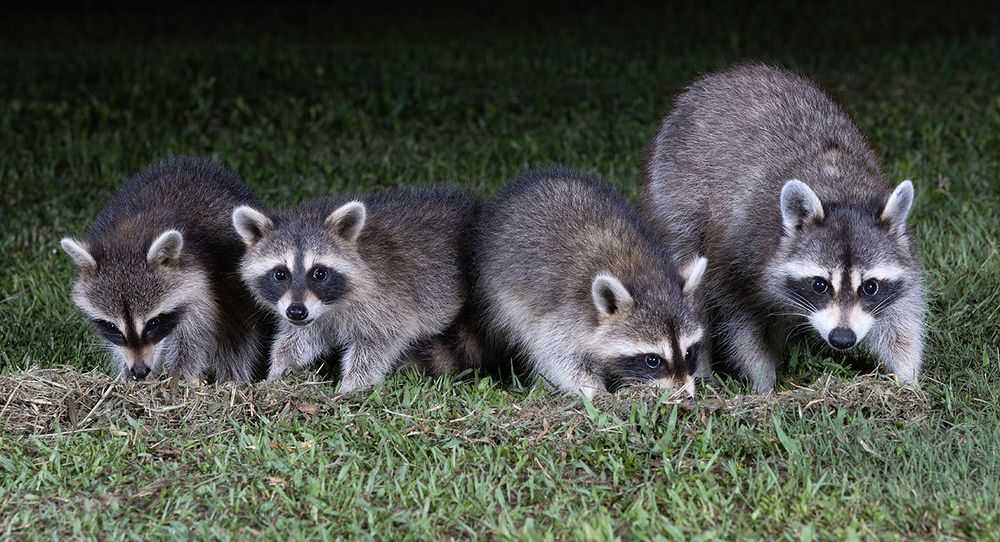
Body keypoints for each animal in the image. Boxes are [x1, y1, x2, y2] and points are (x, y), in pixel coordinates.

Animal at [60, 157, 270, 382]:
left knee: (235, 334)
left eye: (153, 323)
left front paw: (178, 376)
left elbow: (194, 337)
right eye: (113, 327)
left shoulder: (203, 282)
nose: (139, 371)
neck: (133, 232)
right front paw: (126, 375)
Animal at [232, 186, 480, 392]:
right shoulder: (312, 314)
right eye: (280, 274)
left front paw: (350, 387)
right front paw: (278, 370)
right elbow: (301, 337)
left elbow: (377, 344)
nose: (296, 312)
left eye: (319, 273)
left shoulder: (386, 300)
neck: (331, 304)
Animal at [474, 166, 708, 399]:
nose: (685, 396)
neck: (641, 273)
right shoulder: (564, 314)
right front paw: (594, 390)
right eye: (653, 360)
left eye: (689, 353)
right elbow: (559, 354)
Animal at [640, 63, 926, 392]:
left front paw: (907, 378)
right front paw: (764, 382)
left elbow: (901, 316)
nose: (842, 338)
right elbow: (743, 323)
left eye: (870, 287)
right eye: (820, 285)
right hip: (675, 196)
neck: (840, 191)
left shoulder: (900, 254)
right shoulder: (742, 254)